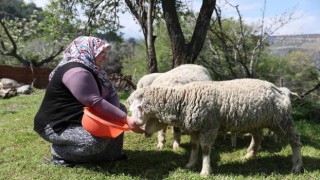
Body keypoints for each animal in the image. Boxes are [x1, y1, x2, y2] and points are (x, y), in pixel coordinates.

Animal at [127, 79, 302, 176]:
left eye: (139, 107)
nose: (134, 123)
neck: (183, 99)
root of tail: (279, 89)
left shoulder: (209, 126)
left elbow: (205, 148)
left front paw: (205, 170)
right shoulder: (195, 127)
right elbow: (194, 146)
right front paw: (191, 163)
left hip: (281, 121)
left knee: (295, 140)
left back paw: (296, 166)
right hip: (256, 121)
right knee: (258, 137)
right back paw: (248, 156)